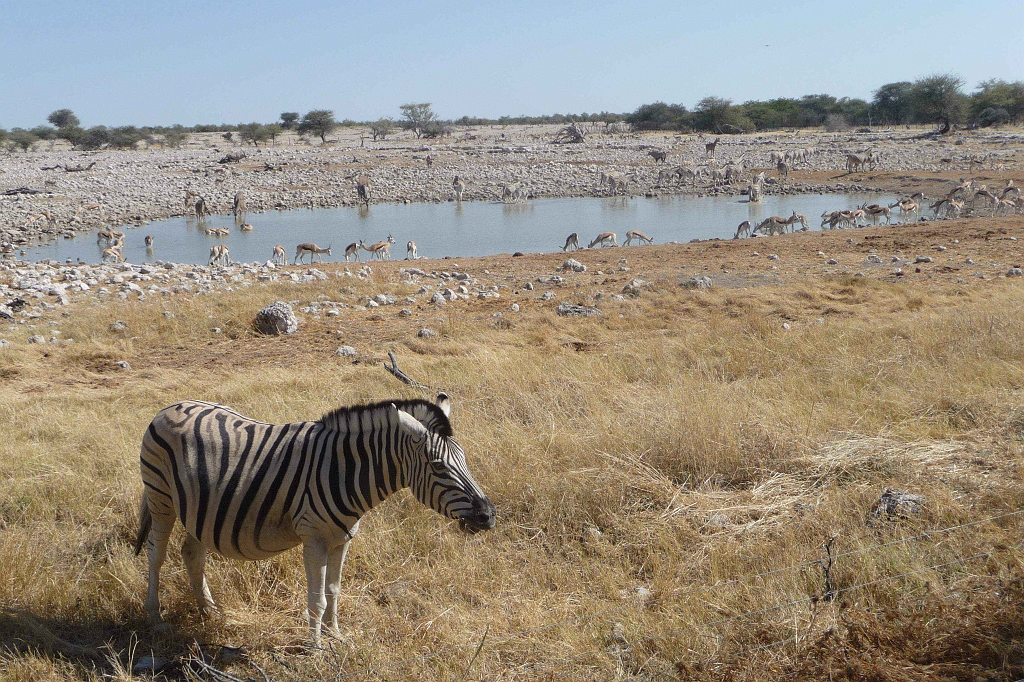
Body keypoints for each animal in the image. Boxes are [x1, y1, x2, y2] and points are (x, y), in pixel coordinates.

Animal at [133, 393, 495, 643]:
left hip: (199, 510)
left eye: (464, 459)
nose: (488, 516)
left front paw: (336, 636)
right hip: (161, 498)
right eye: (438, 466)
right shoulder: (315, 540)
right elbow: (316, 599)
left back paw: (211, 611)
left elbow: (334, 590)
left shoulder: (342, 539)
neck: (344, 472)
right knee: (156, 554)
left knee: (192, 554)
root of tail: (170, 407)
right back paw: (154, 617)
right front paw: (315, 648)